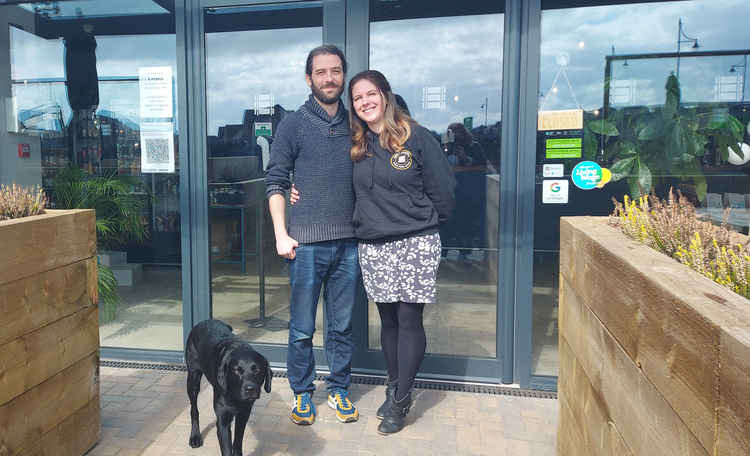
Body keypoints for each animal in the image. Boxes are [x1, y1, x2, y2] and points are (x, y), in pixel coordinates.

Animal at [186, 318, 274, 454]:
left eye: (257, 370)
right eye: (237, 370)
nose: (250, 389)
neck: (235, 395)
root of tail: (205, 321)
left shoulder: (244, 414)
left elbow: (237, 442)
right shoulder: (223, 419)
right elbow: (227, 448)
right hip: (193, 378)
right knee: (194, 409)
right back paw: (195, 437)